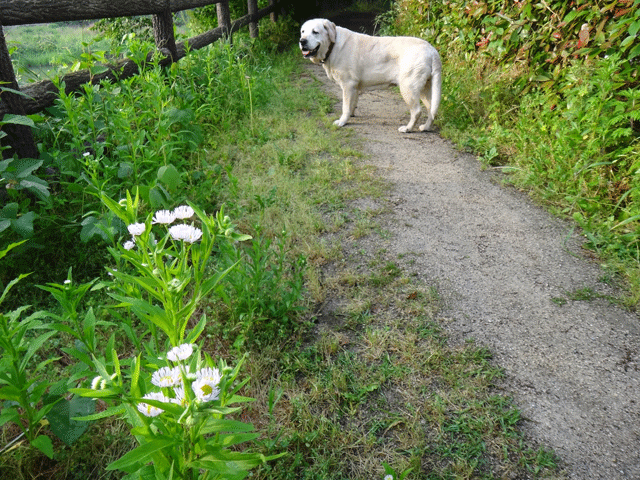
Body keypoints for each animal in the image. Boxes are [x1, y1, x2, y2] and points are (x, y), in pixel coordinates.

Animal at [298, 18, 440, 132]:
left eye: (315, 32)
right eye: (303, 31)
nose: (302, 41)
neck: (332, 46)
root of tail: (431, 50)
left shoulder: (348, 85)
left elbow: (345, 106)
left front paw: (342, 121)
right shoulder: (354, 87)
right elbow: (352, 104)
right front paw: (351, 115)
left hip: (408, 88)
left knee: (417, 111)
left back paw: (407, 128)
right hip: (425, 89)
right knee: (431, 110)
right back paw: (426, 127)